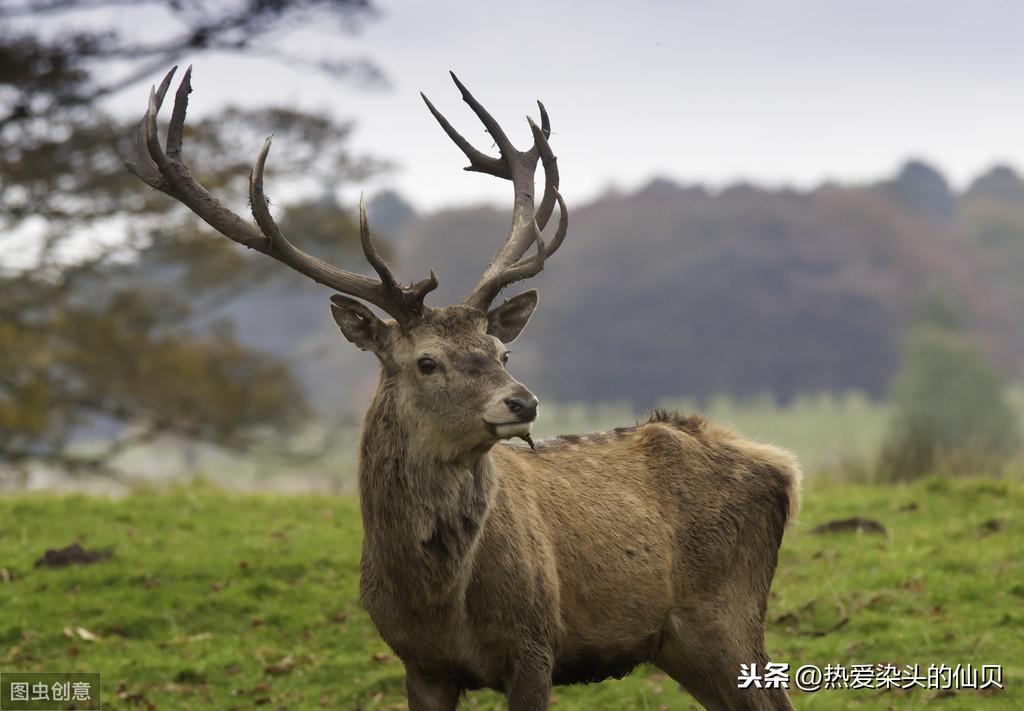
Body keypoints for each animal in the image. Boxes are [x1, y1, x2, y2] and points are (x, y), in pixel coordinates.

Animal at [125, 65, 798, 711]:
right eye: (427, 362)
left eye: (503, 352)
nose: (523, 401)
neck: (439, 605)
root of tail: (780, 465)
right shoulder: (417, 663)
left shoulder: (535, 645)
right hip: (681, 644)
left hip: (727, 616)